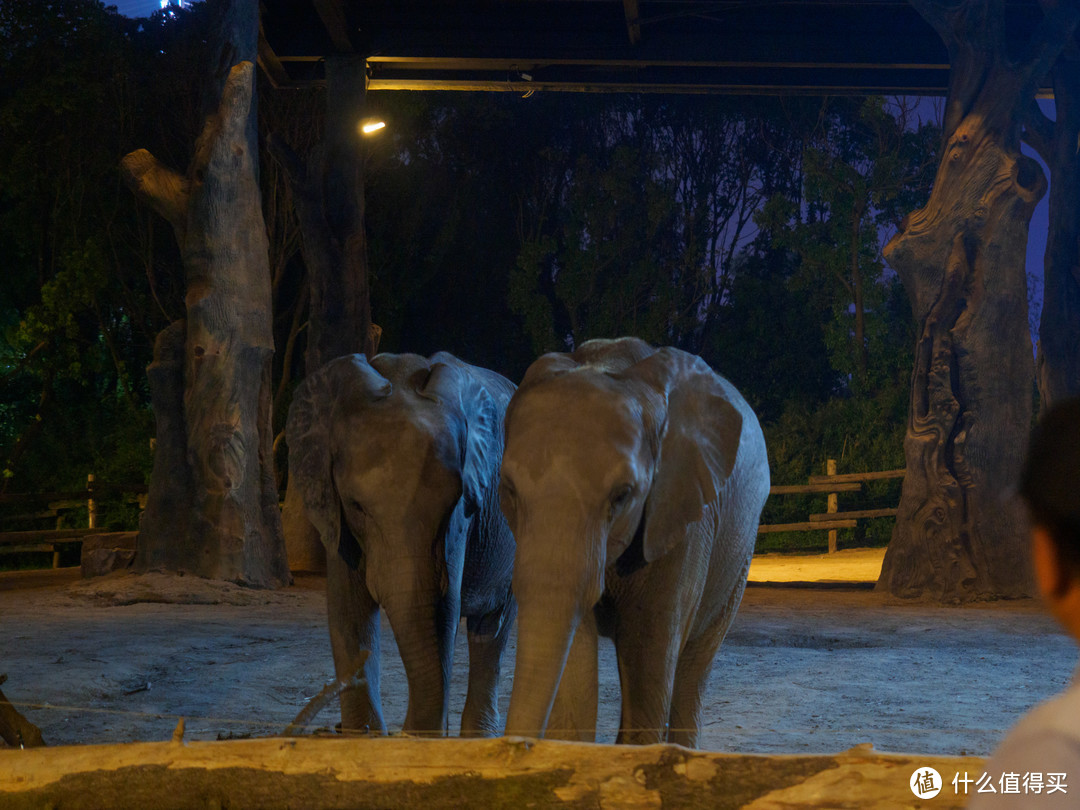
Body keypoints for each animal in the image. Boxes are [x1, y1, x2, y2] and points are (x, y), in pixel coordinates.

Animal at [289, 352, 516, 738]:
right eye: (357, 507)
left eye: (450, 505)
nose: (403, 730)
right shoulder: (335, 513)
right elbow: (347, 609)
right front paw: (363, 736)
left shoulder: (462, 518)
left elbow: (445, 608)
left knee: (493, 630)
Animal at [496, 336, 768, 747]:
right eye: (509, 489)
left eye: (622, 495)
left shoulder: (682, 515)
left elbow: (647, 654)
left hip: (739, 556)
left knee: (691, 671)